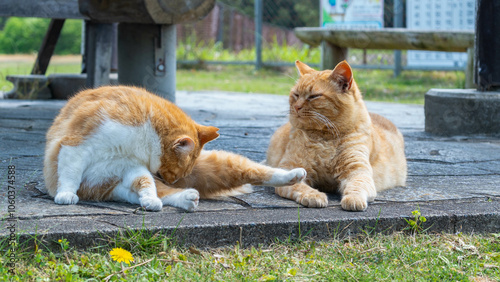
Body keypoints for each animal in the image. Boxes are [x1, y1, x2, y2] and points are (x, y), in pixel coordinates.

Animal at [44, 86, 308, 212]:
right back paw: (182, 198)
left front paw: (151, 197)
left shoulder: (131, 167)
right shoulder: (76, 146)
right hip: (110, 185)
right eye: (178, 169)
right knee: (158, 194)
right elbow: (70, 174)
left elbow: (145, 183)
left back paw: (294, 175)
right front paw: (66, 194)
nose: (176, 180)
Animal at [266, 60, 406, 210]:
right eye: (296, 95)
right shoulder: (291, 169)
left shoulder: (357, 171)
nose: (296, 107)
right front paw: (314, 195)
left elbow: (357, 186)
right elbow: (300, 187)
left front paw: (354, 199)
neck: (324, 137)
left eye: (314, 96)